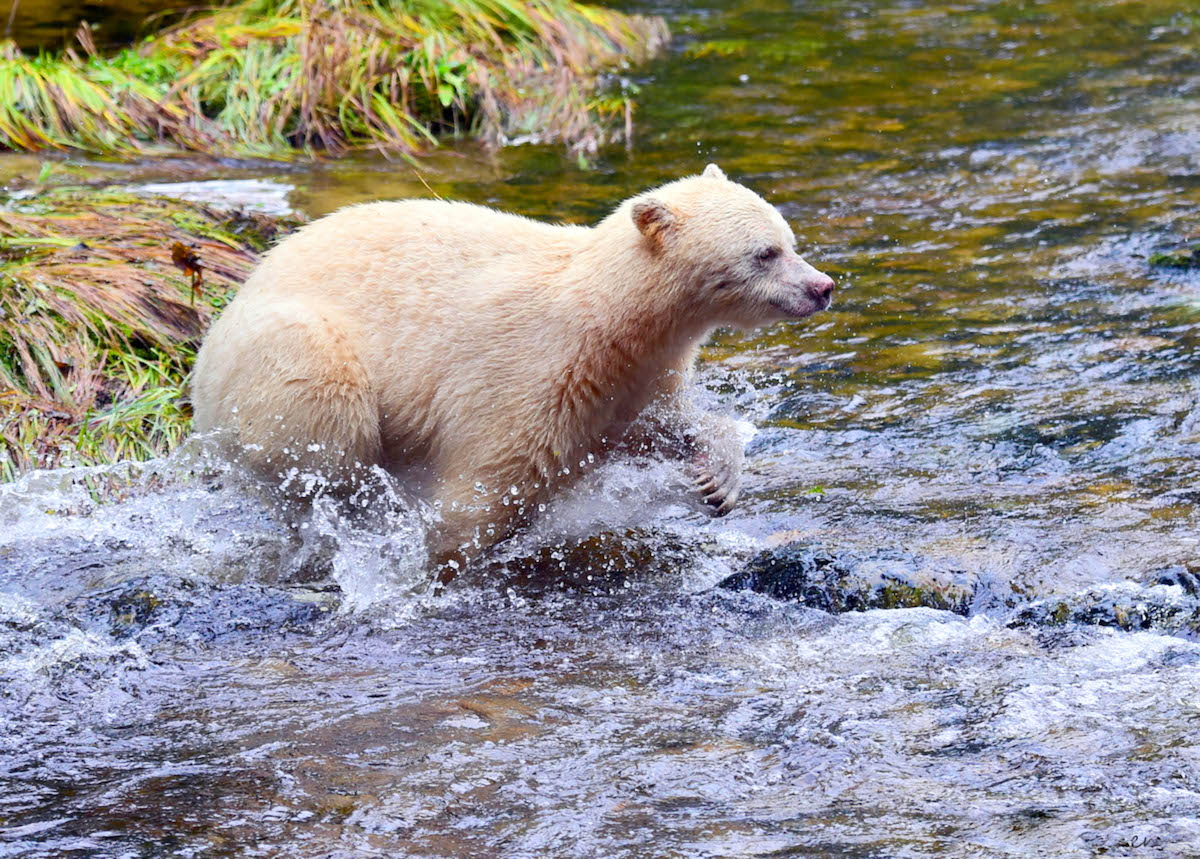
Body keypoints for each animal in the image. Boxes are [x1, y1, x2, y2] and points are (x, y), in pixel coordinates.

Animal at [194, 164, 835, 573]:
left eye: (789, 239)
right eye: (764, 253)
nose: (822, 287)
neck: (608, 314)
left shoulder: (631, 376)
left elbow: (660, 423)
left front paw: (717, 481)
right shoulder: (532, 370)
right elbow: (488, 482)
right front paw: (440, 563)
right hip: (287, 359)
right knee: (327, 437)